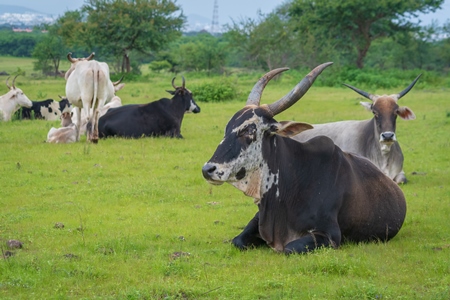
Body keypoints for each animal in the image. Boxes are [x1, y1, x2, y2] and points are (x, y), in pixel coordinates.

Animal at [202, 62, 406, 254]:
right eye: (227, 128)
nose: (207, 169)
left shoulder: (329, 235)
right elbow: (237, 241)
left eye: (249, 130)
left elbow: (290, 247)